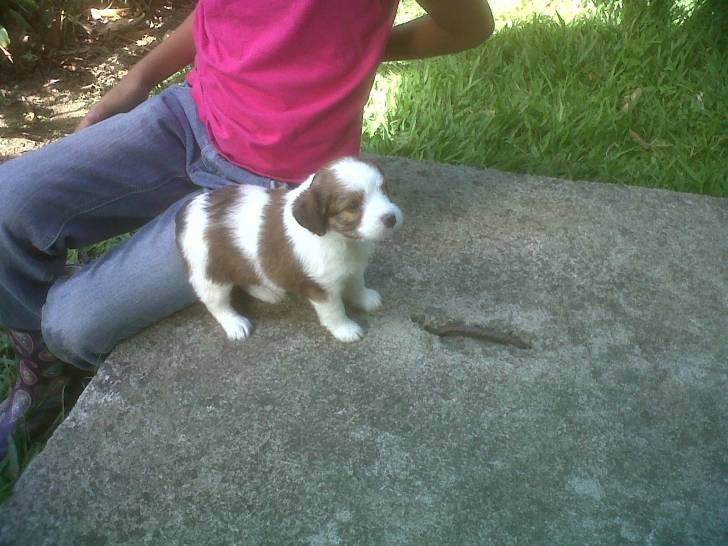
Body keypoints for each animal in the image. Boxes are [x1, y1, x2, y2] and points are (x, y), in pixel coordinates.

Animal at [175, 157, 403, 342]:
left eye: (383, 189)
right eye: (352, 207)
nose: (391, 219)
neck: (341, 240)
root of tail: (187, 210)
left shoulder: (353, 268)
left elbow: (356, 284)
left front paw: (365, 298)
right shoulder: (322, 288)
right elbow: (335, 311)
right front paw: (345, 329)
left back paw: (267, 292)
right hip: (210, 273)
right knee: (217, 304)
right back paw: (234, 323)